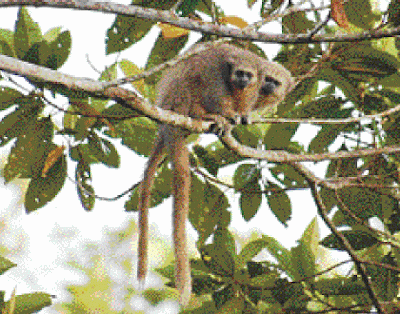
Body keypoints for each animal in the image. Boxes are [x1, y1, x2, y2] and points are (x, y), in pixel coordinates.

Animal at [137, 43, 294, 306]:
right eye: (268, 80)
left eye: (275, 82)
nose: (267, 86)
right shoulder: (220, 71)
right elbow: (213, 89)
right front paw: (225, 115)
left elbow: (244, 106)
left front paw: (240, 117)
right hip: (178, 97)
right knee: (192, 80)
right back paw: (204, 115)